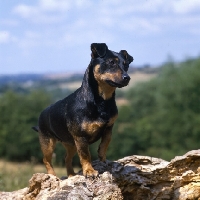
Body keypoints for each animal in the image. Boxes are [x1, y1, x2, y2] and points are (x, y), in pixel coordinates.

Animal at [32, 43, 134, 177]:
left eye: (126, 65)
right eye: (111, 62)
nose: (127, 78)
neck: (102, 100)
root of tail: (42, 114)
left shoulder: (108, 129)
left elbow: (104, 145)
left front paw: (103, 160)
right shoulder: (80, 137)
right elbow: (85, 155)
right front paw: (89, 171)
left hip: (70, 143)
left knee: (67, 158)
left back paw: (71, 174)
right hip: (48, 143)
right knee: (46, 159)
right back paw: (53, 176)